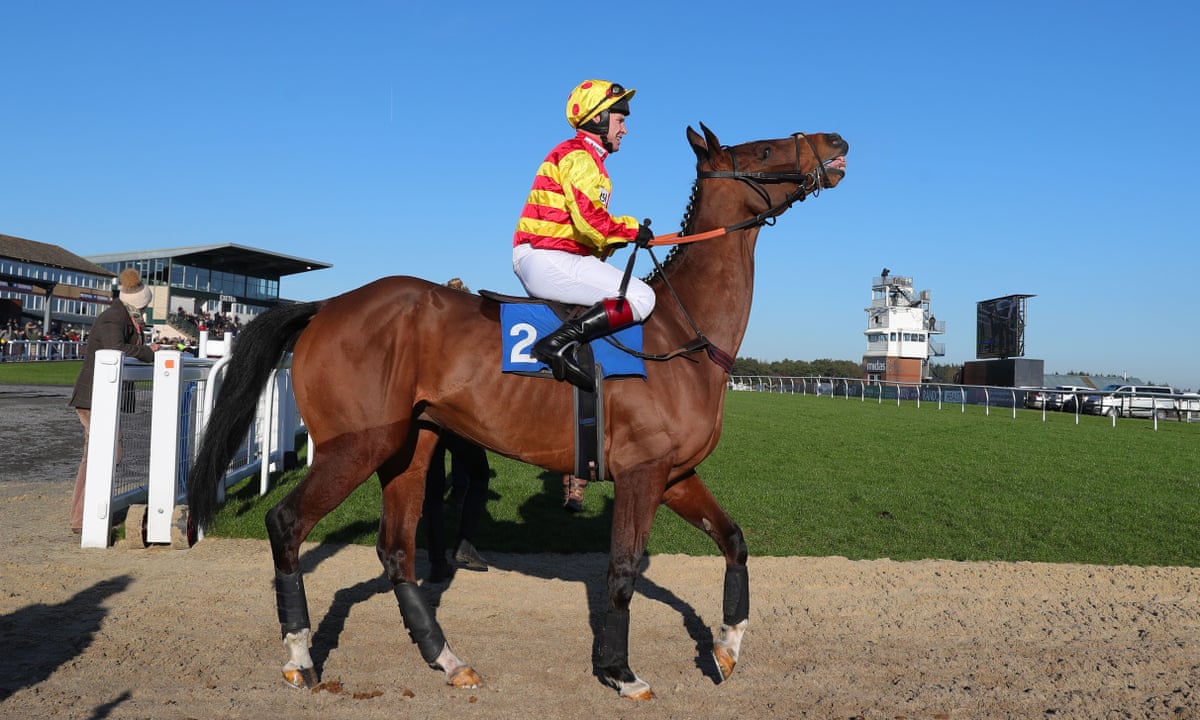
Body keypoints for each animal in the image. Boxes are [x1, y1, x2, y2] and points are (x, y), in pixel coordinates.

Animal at [186, 123, 848, 700]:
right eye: (764, 150)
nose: (837, 140)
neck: (678, 332)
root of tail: (327, 304)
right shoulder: (641, 473)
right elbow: (623, 569)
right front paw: (619, 671)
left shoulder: (675, 473)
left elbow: (734, 540)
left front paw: (728, 646)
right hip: (357, 445)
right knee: (287, 524)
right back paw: (300, 656)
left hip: (410, 447)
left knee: (396, 551)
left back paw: (447, 660)